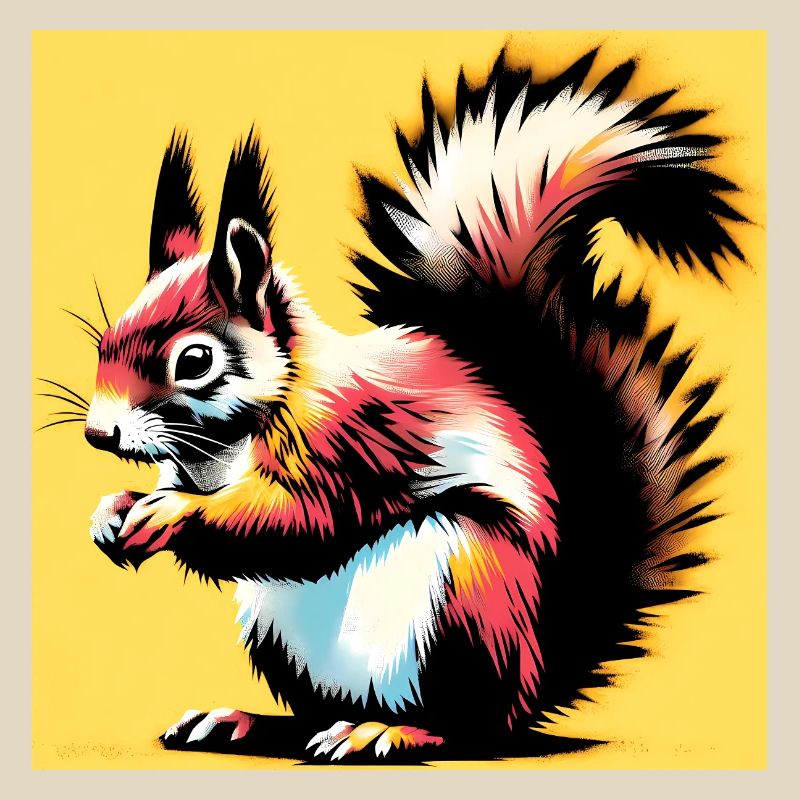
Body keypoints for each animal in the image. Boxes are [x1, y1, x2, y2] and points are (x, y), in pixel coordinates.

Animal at [79, 49, 744, 761]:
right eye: (107, 339)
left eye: (195, 361)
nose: (99, 434)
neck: (225, 442)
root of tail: (534, 678)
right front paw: (112, 510)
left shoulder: (350, 440)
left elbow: (297, 520)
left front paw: (172, 513)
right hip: (280, 631)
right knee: (314, 713)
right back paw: (247, 721)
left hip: (464, 598)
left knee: (469, 723)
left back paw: (390, 730)